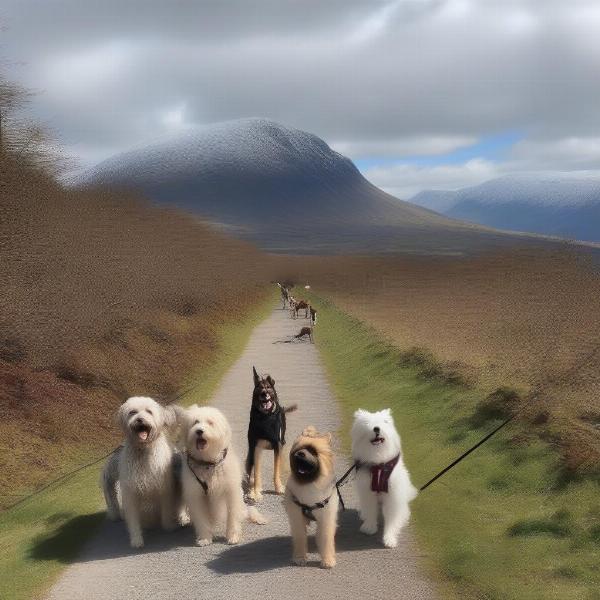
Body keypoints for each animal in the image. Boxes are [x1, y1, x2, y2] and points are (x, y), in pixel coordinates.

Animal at [101, 396, 180, 552]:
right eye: (132, 412)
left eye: (149, 411)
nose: (140, 420)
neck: (143, 451)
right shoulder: (131, 494)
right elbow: (133, 520)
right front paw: (136, 540)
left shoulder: (164, 489)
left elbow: (167, 510)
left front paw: (169, 526)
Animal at [177, 406, 264, 548]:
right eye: (195, 422)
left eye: (210, 422)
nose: (199, 431)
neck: (208, 463)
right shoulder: (196, 495)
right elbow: (201, 519)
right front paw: (205, 538)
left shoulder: (232, 492)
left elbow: (233, 515)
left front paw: (233, 536)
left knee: (247, 511)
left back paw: (259, 518)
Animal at [246, 366, 298, 502]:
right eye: (259, 387)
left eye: (268, 387)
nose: (264, 394)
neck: (265, 417)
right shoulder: (255, 446)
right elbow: (256, 470)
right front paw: (255, 492)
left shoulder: (277, 444)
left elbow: (276, 468)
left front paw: (278, 487)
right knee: (250, 468)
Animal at [284, 424, 338, 568]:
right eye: (298, 449)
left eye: (313, 451)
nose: (299, 454)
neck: (310, 483)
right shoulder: (297, 517)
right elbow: (300, 537)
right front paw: (300, 558)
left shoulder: (326, 518)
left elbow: (326, 539)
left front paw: (328, 560)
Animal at [352, 408, 418, 548]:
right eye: (367, 423)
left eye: (384, 422)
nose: (376, 428)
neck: (378, 464)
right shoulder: (368, 492)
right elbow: (371, 511)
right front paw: (369, 528)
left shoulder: (392, 495)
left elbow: (391, 519)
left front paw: (389, 539)